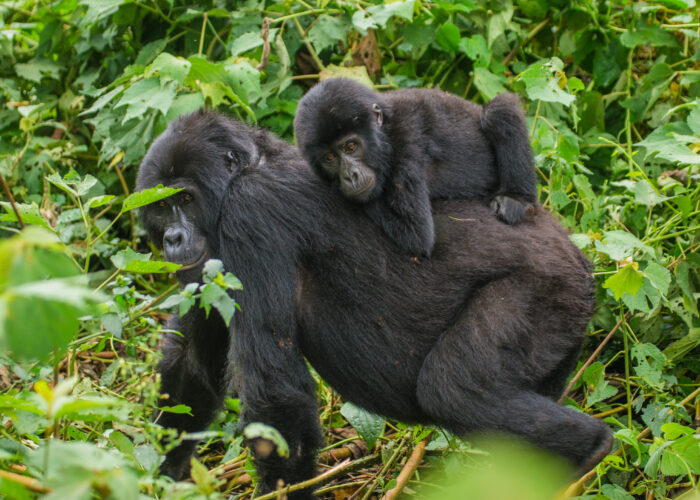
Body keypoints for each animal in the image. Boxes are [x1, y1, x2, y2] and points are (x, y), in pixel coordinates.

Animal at [137, 110, 612, 496]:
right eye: (160, 207)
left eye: (185, 199)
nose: (172, 239)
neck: (248, 168)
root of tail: (577, 253)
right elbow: (191, 368)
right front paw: (159, 476)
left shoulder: (250, 213)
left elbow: (275, 394)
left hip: (550, 284)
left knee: (455, 389)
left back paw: (589, 450)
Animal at [292, 79, 540, 256]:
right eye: (329, 158)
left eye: (351, 146)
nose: (350, 176)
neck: (385, 132)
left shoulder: (406, 147)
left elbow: (416, 234)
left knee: (499, 111)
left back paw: (517, 199)